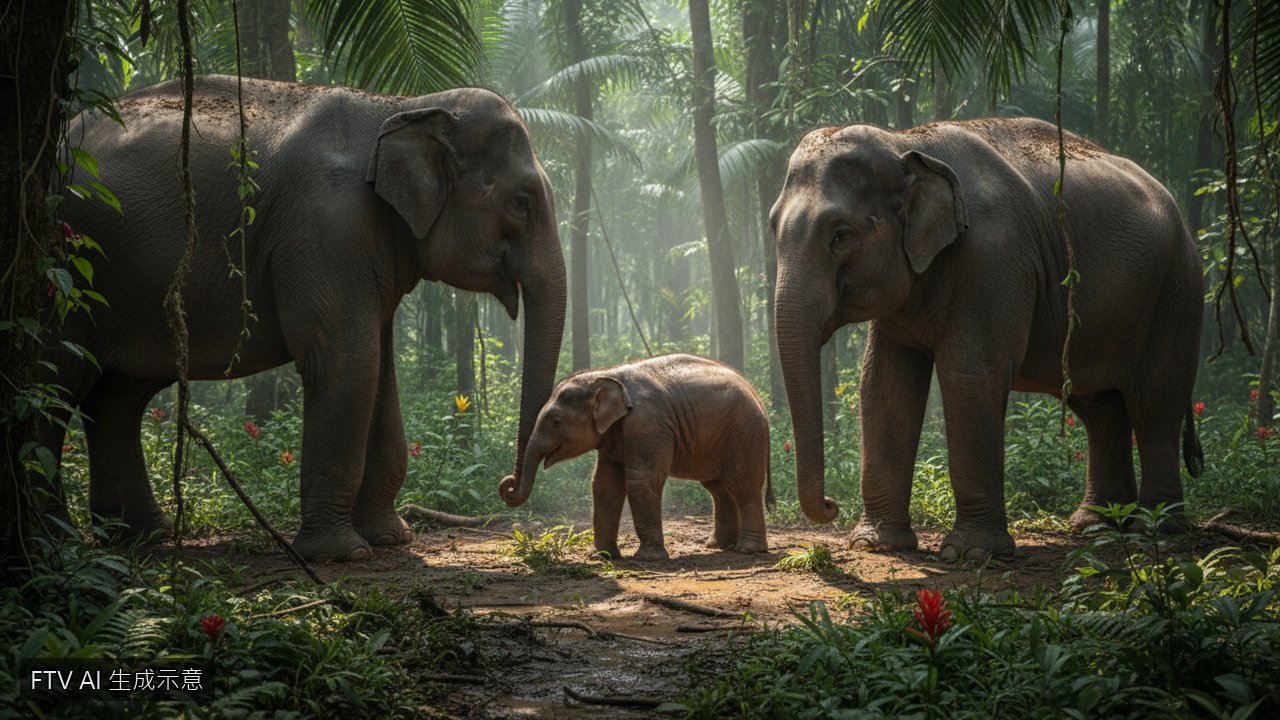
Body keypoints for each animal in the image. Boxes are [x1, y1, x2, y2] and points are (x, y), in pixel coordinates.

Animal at [41, 75, 566, 561]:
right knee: (56, 384)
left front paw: (391, 538)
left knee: (116, 398)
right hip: (64, 273)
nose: (507, 485)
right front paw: (341, 554)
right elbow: (346, 361)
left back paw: (143, 538)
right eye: (522, 202)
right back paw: (61, 543)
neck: (402, 106)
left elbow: (378, 369)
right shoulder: (325, 227)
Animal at [501, 354, 774, 560]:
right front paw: (603, 556)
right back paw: (717, 546)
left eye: (556, 422)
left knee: (742, 486)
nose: (508, 484)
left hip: (745, 432)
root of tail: (758, 397)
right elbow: (605, 485)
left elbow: (641, 480)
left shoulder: (647, 423)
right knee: (718, 487)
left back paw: (748, 550)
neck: (605, 375)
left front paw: (648, 558)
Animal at [771, 117, 1203, 561]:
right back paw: (1097, 524)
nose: (830, 505)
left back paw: (1156, 529)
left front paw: (972, 553)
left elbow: (969, 375)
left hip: (1177, 292)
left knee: (1155, 402)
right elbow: (885, 385)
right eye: (772, 227)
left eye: (840, 235)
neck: (905, 142)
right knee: (1101, 409)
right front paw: (877, 544)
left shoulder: (995, 256)